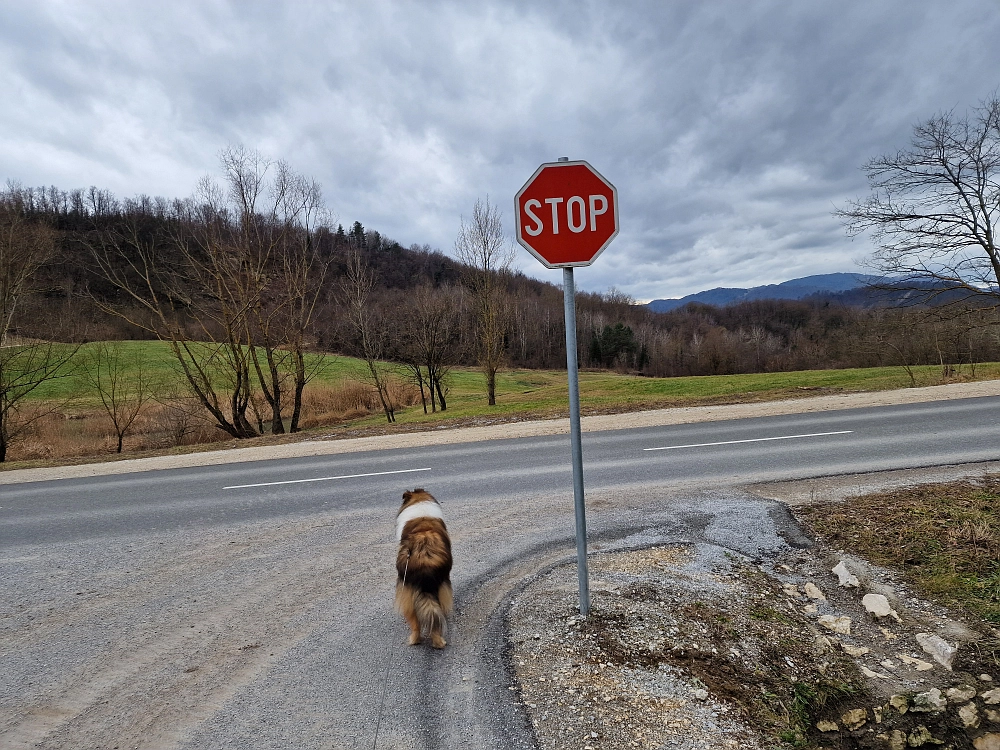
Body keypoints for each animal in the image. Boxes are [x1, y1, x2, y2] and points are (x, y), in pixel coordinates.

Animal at [394, 490, 454, 648]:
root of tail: (423, 559)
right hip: (441, 583)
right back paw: (439, 642)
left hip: (408, 590)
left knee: (415, 622)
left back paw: (415, 640)